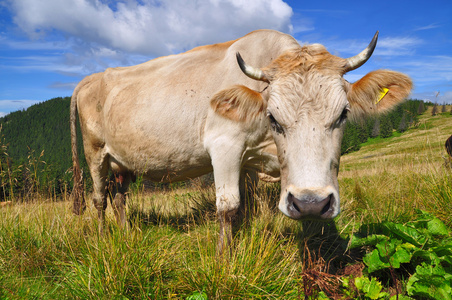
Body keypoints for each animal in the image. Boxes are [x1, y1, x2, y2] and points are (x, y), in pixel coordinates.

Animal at [70, 30, 414, 252]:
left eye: (343, 114)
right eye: (273, 117)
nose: (311, 203)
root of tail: (90, 78)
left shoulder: (250, 161)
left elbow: (250, 208)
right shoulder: (225, 146)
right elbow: (228, 206)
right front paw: (225, 256)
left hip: (122, 162)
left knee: (120, 198)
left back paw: (126, 234)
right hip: (94, 153)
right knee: (99, 200)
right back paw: (103, 240)